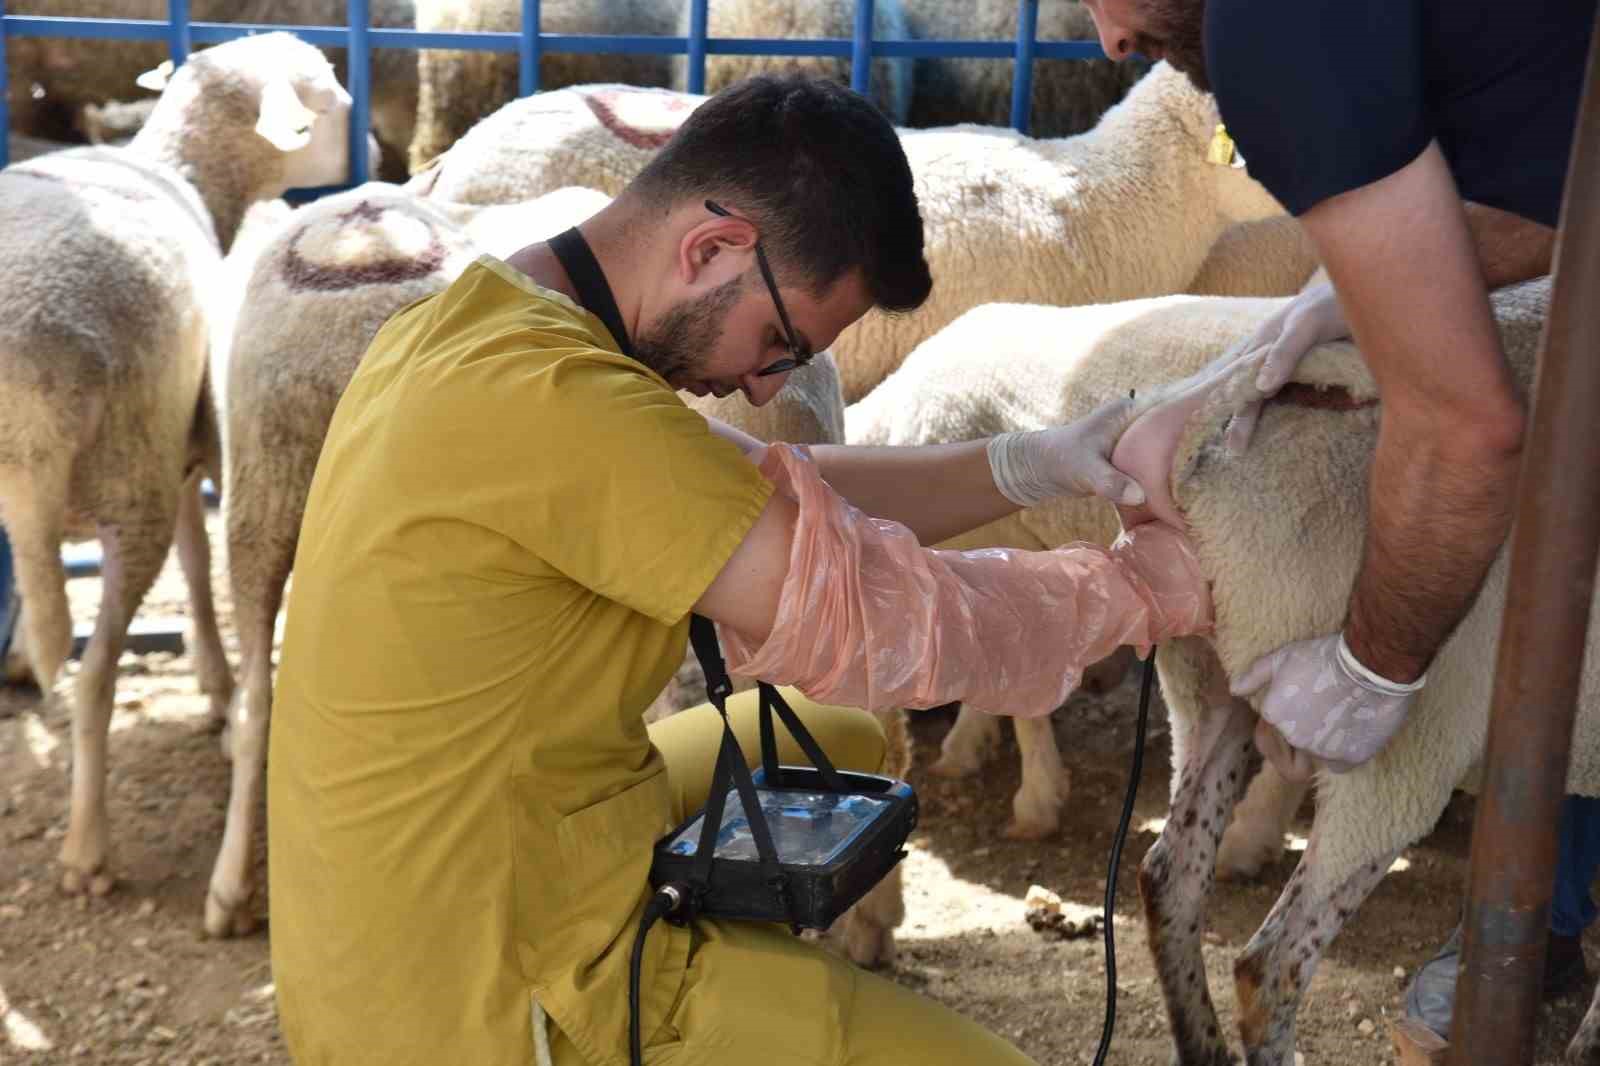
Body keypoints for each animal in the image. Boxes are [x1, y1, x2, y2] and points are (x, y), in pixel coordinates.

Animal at [0, 33, 353, 928]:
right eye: (325, 96)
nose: (363, 137)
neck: (184, 170)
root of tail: (25, 394)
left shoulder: (179, 448)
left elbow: (198, 560)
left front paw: (211, 679)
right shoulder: (177, 446)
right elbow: (199, 564)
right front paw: (220, 688)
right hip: (129, 481)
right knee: (93, 674)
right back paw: (87, 851)